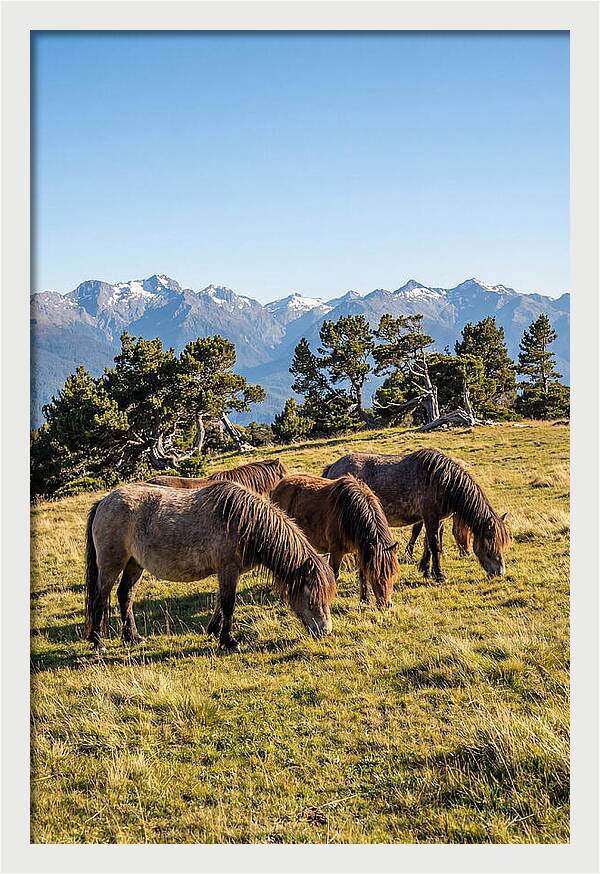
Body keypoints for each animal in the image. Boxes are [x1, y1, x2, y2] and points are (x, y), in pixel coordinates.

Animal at [84, 480, 336, 653]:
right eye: (312, 599)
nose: (325, 631)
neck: (243, 522)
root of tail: (104, 502)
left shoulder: (229, 572)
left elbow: (219, 602)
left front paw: (214, 631)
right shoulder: (228, 569)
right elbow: (228, 604)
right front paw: (229, 641)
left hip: (134, 565)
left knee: (125, 595)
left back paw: (133, 637)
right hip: (111, 564)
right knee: (100, 597)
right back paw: (98, 642)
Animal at [271, 473, 399, 608]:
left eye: (392, 573)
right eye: (375, 573)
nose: (386, 604)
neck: (349, 512)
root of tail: (279, 485)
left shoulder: (360, 550)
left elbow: (362, 574)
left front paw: (364, 600)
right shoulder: (336, 550)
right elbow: (335, 574)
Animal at [323, 448, 509, 583]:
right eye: (491, 541)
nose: (500, 572)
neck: (442, 480)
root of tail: (333, 466)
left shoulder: (437, 520)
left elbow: (429, 544)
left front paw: (426, 571)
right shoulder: (430, 516)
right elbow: (434, 544)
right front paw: (439, 575)